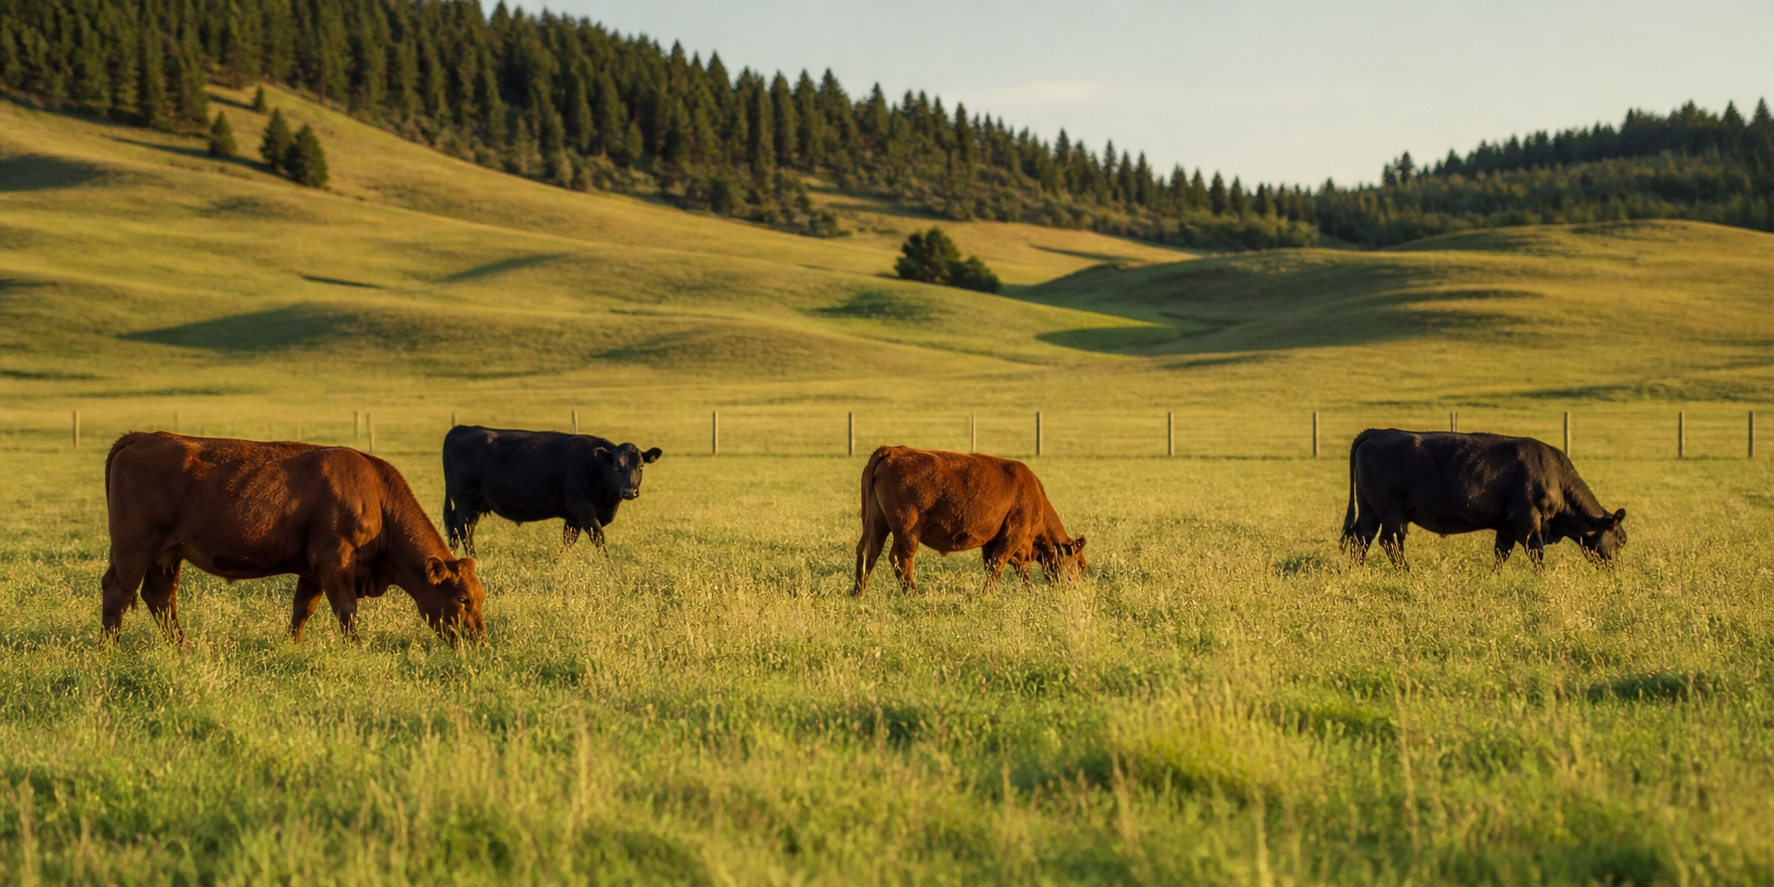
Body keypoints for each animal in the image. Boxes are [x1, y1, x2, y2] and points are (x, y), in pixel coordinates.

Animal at [102, 432, 485, 645]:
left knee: (161, 598)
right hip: (134, 549)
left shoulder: (312, 570)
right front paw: (357, 647)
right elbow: (346, 609)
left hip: (167, 555)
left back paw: (182, 648)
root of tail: (141, 436)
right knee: (118, 592)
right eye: (463, 599)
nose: (479, 641)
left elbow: (302, 609)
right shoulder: (335, 560)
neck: (375, 494)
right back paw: (111, 650)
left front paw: (291, 647)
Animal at [441, 425, 662, 558]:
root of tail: (461, 429)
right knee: (464, 532)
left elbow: (567, 543)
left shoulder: (573, 518)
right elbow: (599, 538)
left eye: (641, 467)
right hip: (465, 502)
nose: (630, 491)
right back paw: (473, 560)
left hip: (474, 505)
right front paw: (609, 568)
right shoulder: (583, 509)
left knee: (454, 528)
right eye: (615, 467)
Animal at [853, 445, 1086, 596]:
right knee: (901, 559)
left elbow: (1010, 569)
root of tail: (892, 450)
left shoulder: (994, 542)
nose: (1077, 590)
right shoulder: (1014, 536)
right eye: (1081, 565)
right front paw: (986, 596)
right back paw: (913, 595)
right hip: (908, 531)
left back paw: (858, 593)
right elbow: (999, 565)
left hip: (877, 525)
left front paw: (1029, 594)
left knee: (868, 552)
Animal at [1342, 428, 1627, 571]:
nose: (1619, 571)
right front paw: (1543, 578)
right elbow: (1536, 552)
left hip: (1369, 509)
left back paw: (1356, 572)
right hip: (1391, 512)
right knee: (1390, 542)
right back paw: (1407, 574)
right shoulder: (1527, 520)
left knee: (1362, 537)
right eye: (1621, 540)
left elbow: (1502, 553)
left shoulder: (1507, 526)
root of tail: (1377, 432)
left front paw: (1494, 577)